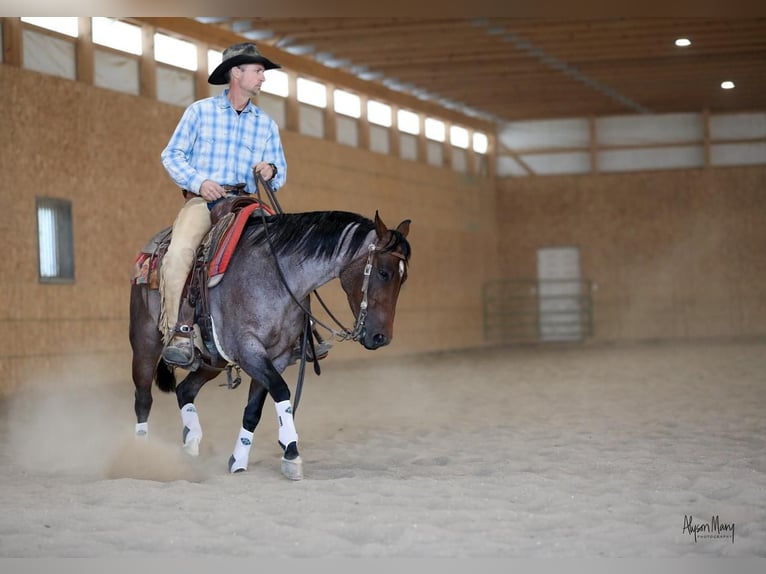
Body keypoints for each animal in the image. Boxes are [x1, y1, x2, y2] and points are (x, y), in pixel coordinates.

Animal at [129, 207, 412, 482]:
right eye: (383, 273)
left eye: (403, 278)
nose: (381, 337)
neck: (274, 276)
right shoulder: (249, 351)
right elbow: (281, 390)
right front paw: (292, 453)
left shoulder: (277, 356)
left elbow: (254, 409)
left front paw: (239, 460)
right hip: (145, 342)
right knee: (143, 398)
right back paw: (142, 454)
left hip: (212, 361)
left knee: (185, 390)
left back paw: (191, 442)